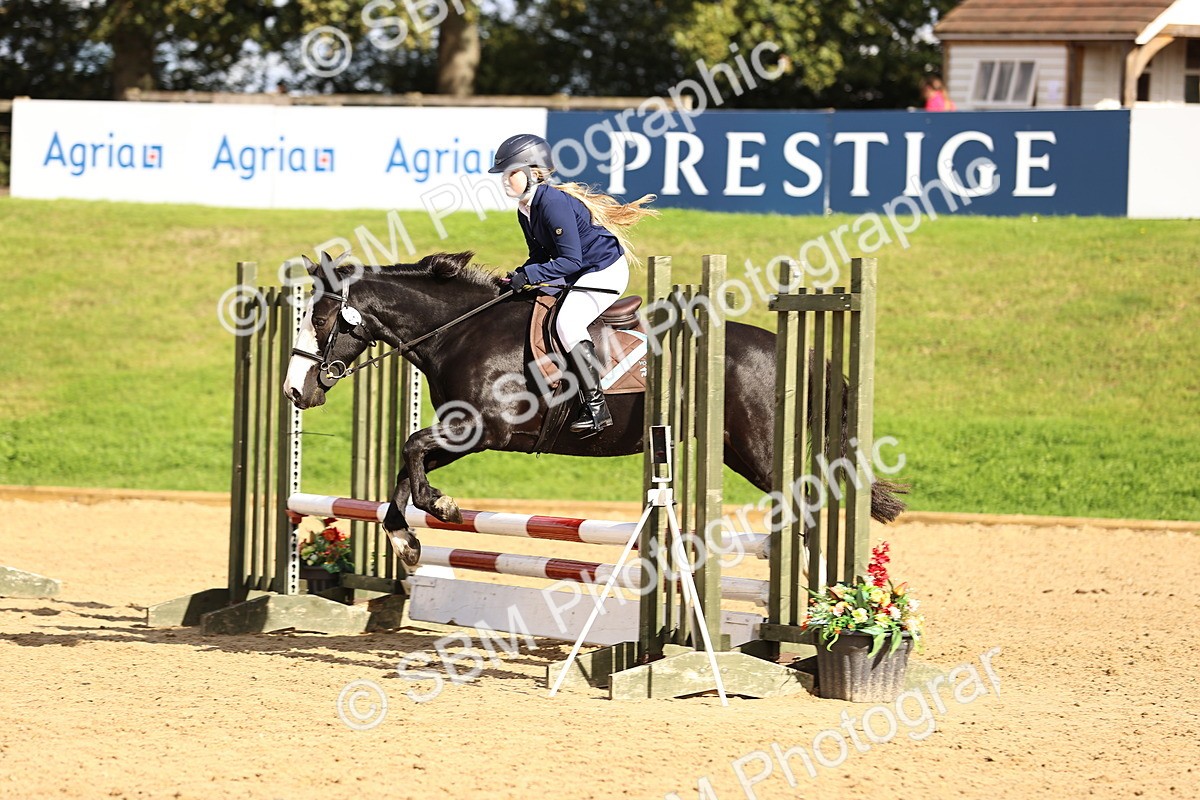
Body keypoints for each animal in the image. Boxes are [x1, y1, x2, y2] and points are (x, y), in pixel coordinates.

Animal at [283, 251, 906, 565]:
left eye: (321, 319)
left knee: (806, 501)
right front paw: (407, 538)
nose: (296, 392)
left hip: (759, 450)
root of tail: (792, 350)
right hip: (735, 451)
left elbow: (411, 450)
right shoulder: (466, 432)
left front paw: (442, 508)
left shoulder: (483, 427)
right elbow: (405, 464)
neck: (460, 330)